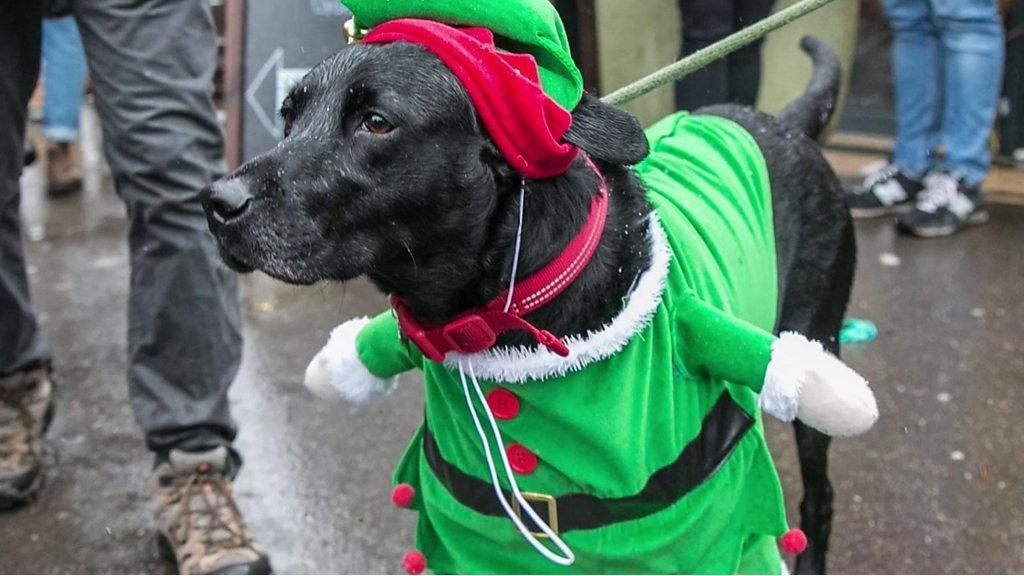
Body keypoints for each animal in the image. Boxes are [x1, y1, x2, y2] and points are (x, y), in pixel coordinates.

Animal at [203, 35, 851, 569]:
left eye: (376, 122)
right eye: (289, 116)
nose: (215, 203)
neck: (507, 323)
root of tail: (779, 120)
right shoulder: (478, 542)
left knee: (820, 496)